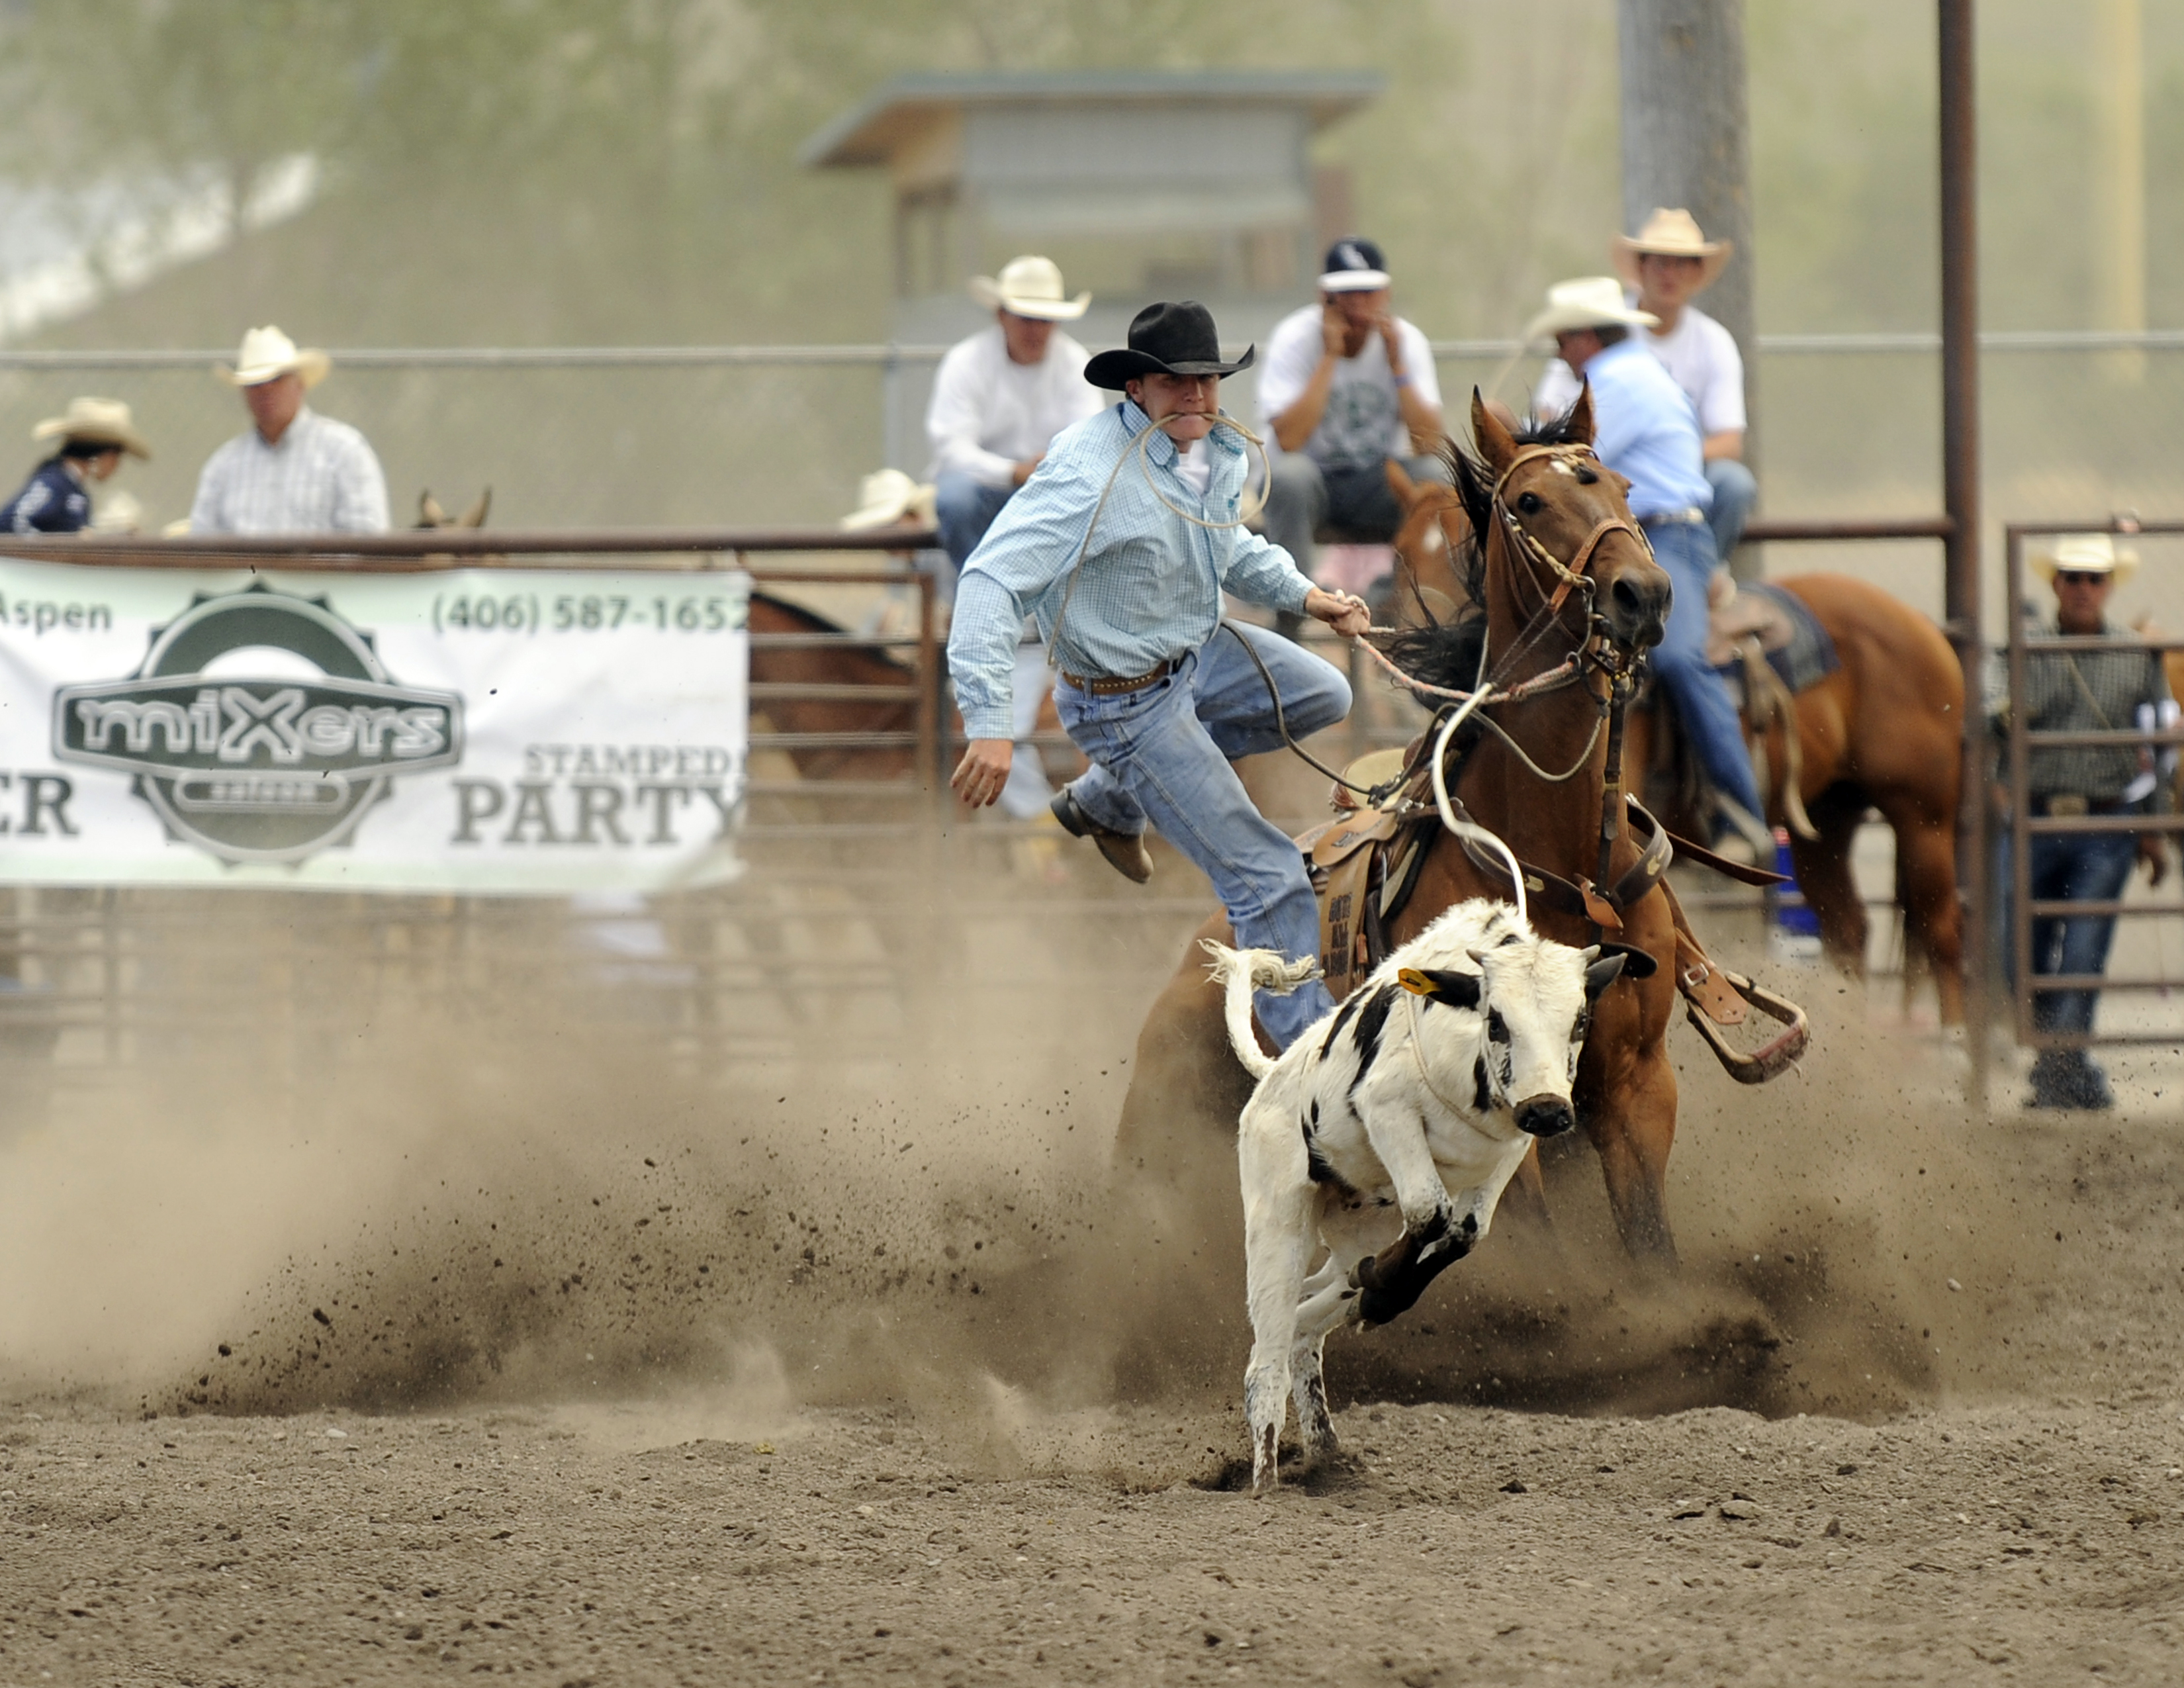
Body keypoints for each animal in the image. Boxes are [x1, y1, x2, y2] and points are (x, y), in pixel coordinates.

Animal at [1118, 391, 1694, 1266]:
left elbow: (1653, 1251)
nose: (1644, 594)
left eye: (1624, 487)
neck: (1556, 861)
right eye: (1531, 501)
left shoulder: (1638, 1087)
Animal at [1197, 895, 1642, 1485]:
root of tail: (1272, 1076)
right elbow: (1431, 1214)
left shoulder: (1507, 1154)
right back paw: (1266, 1477)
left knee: (1305, 1330)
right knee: (1266, 1359)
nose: (1548, 1110)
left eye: (1581, 1019)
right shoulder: (1390, 1112)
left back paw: (1327, 1449)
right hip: (1278, 1220)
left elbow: (1462, 1233)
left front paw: (1380, 1294)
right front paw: (1381, 1287)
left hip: (1355, 1226)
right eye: (1496, 1020)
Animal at [1388, 458, 1974, 1026]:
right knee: (1849, 927)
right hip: (1829, 820)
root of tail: (1923, 625)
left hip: (1922, 812)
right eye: (1403, 551)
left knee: (1941, 929)